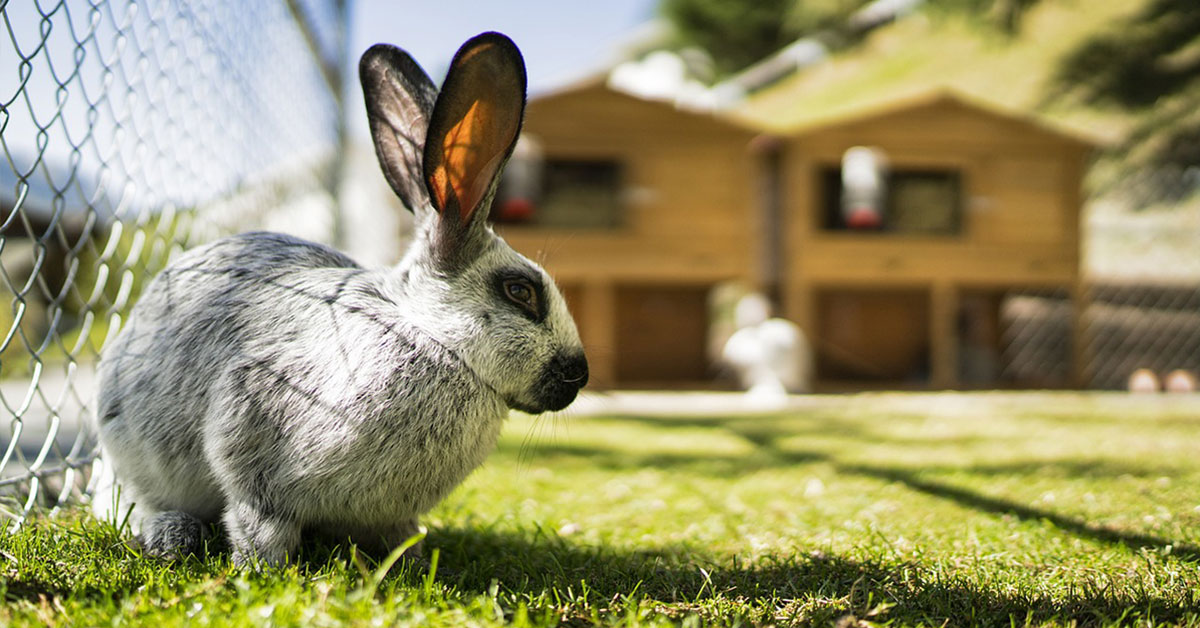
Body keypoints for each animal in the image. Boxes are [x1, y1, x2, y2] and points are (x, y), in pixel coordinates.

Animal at [88, 31, 585, 566]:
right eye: (521, 292)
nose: (580, 374)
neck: (435, 338)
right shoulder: (249, 430)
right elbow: (254, 516)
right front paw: (263, 568)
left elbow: (397, 532)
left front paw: (409, 559)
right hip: (133, 457)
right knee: (136, 503)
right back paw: (172, 536)